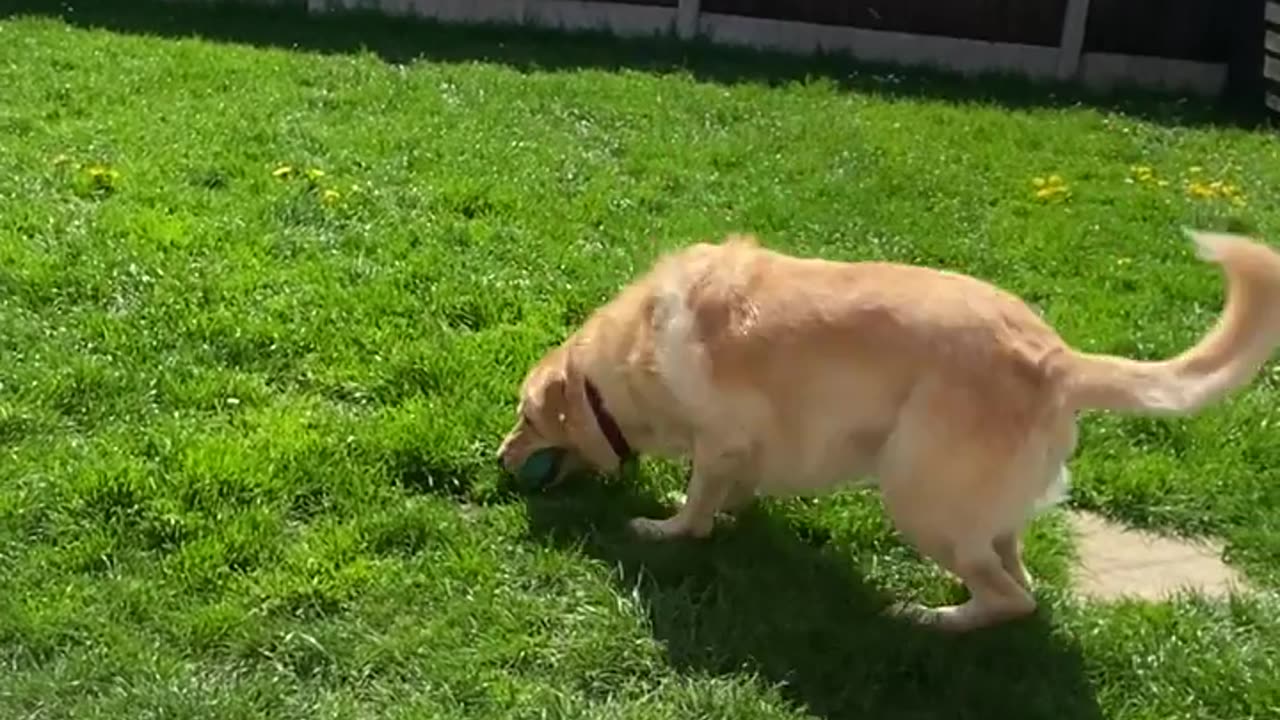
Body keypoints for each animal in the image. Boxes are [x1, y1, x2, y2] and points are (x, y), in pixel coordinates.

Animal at [494, 228, 1280, 627]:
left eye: (526, 418)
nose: (500, 459)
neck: (630, 354)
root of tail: (1057, 359)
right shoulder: (747, 447)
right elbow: (734, 491)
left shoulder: (718, 438)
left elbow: (695, 505)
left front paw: (665, 530)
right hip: (978, 513)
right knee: (1019, 574)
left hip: (917, 500)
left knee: (1012, 599)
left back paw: (928, 616)